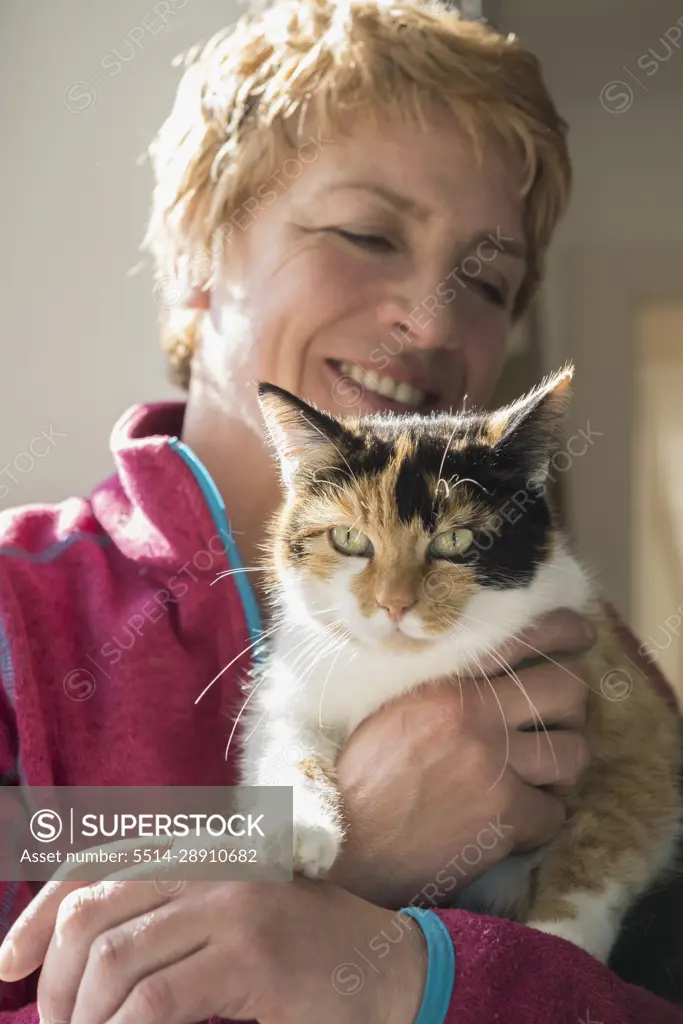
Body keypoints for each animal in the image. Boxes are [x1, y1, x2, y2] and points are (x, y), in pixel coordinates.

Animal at [237, 366, 679, 958]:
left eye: (455, 539)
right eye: (349, 537)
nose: (394, 604)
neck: (405, 671)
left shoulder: (630, 717)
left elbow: (610, 836)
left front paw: (561, 942)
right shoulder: (293, 686)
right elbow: (284, 741)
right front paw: (296, 832)